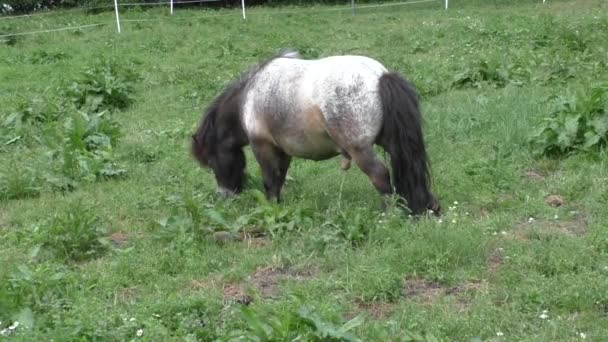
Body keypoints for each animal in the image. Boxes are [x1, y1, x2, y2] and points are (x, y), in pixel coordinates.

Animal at [192, 49, 440, 215]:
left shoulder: (263, 147)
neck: (248, 97)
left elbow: (270, 181)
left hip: (361, 150)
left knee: (380, 175)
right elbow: (279, 179)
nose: (224, 195)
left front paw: (272, 209)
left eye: (212, 162)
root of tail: (380, 77)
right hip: (392, 143)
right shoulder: (283, 151)